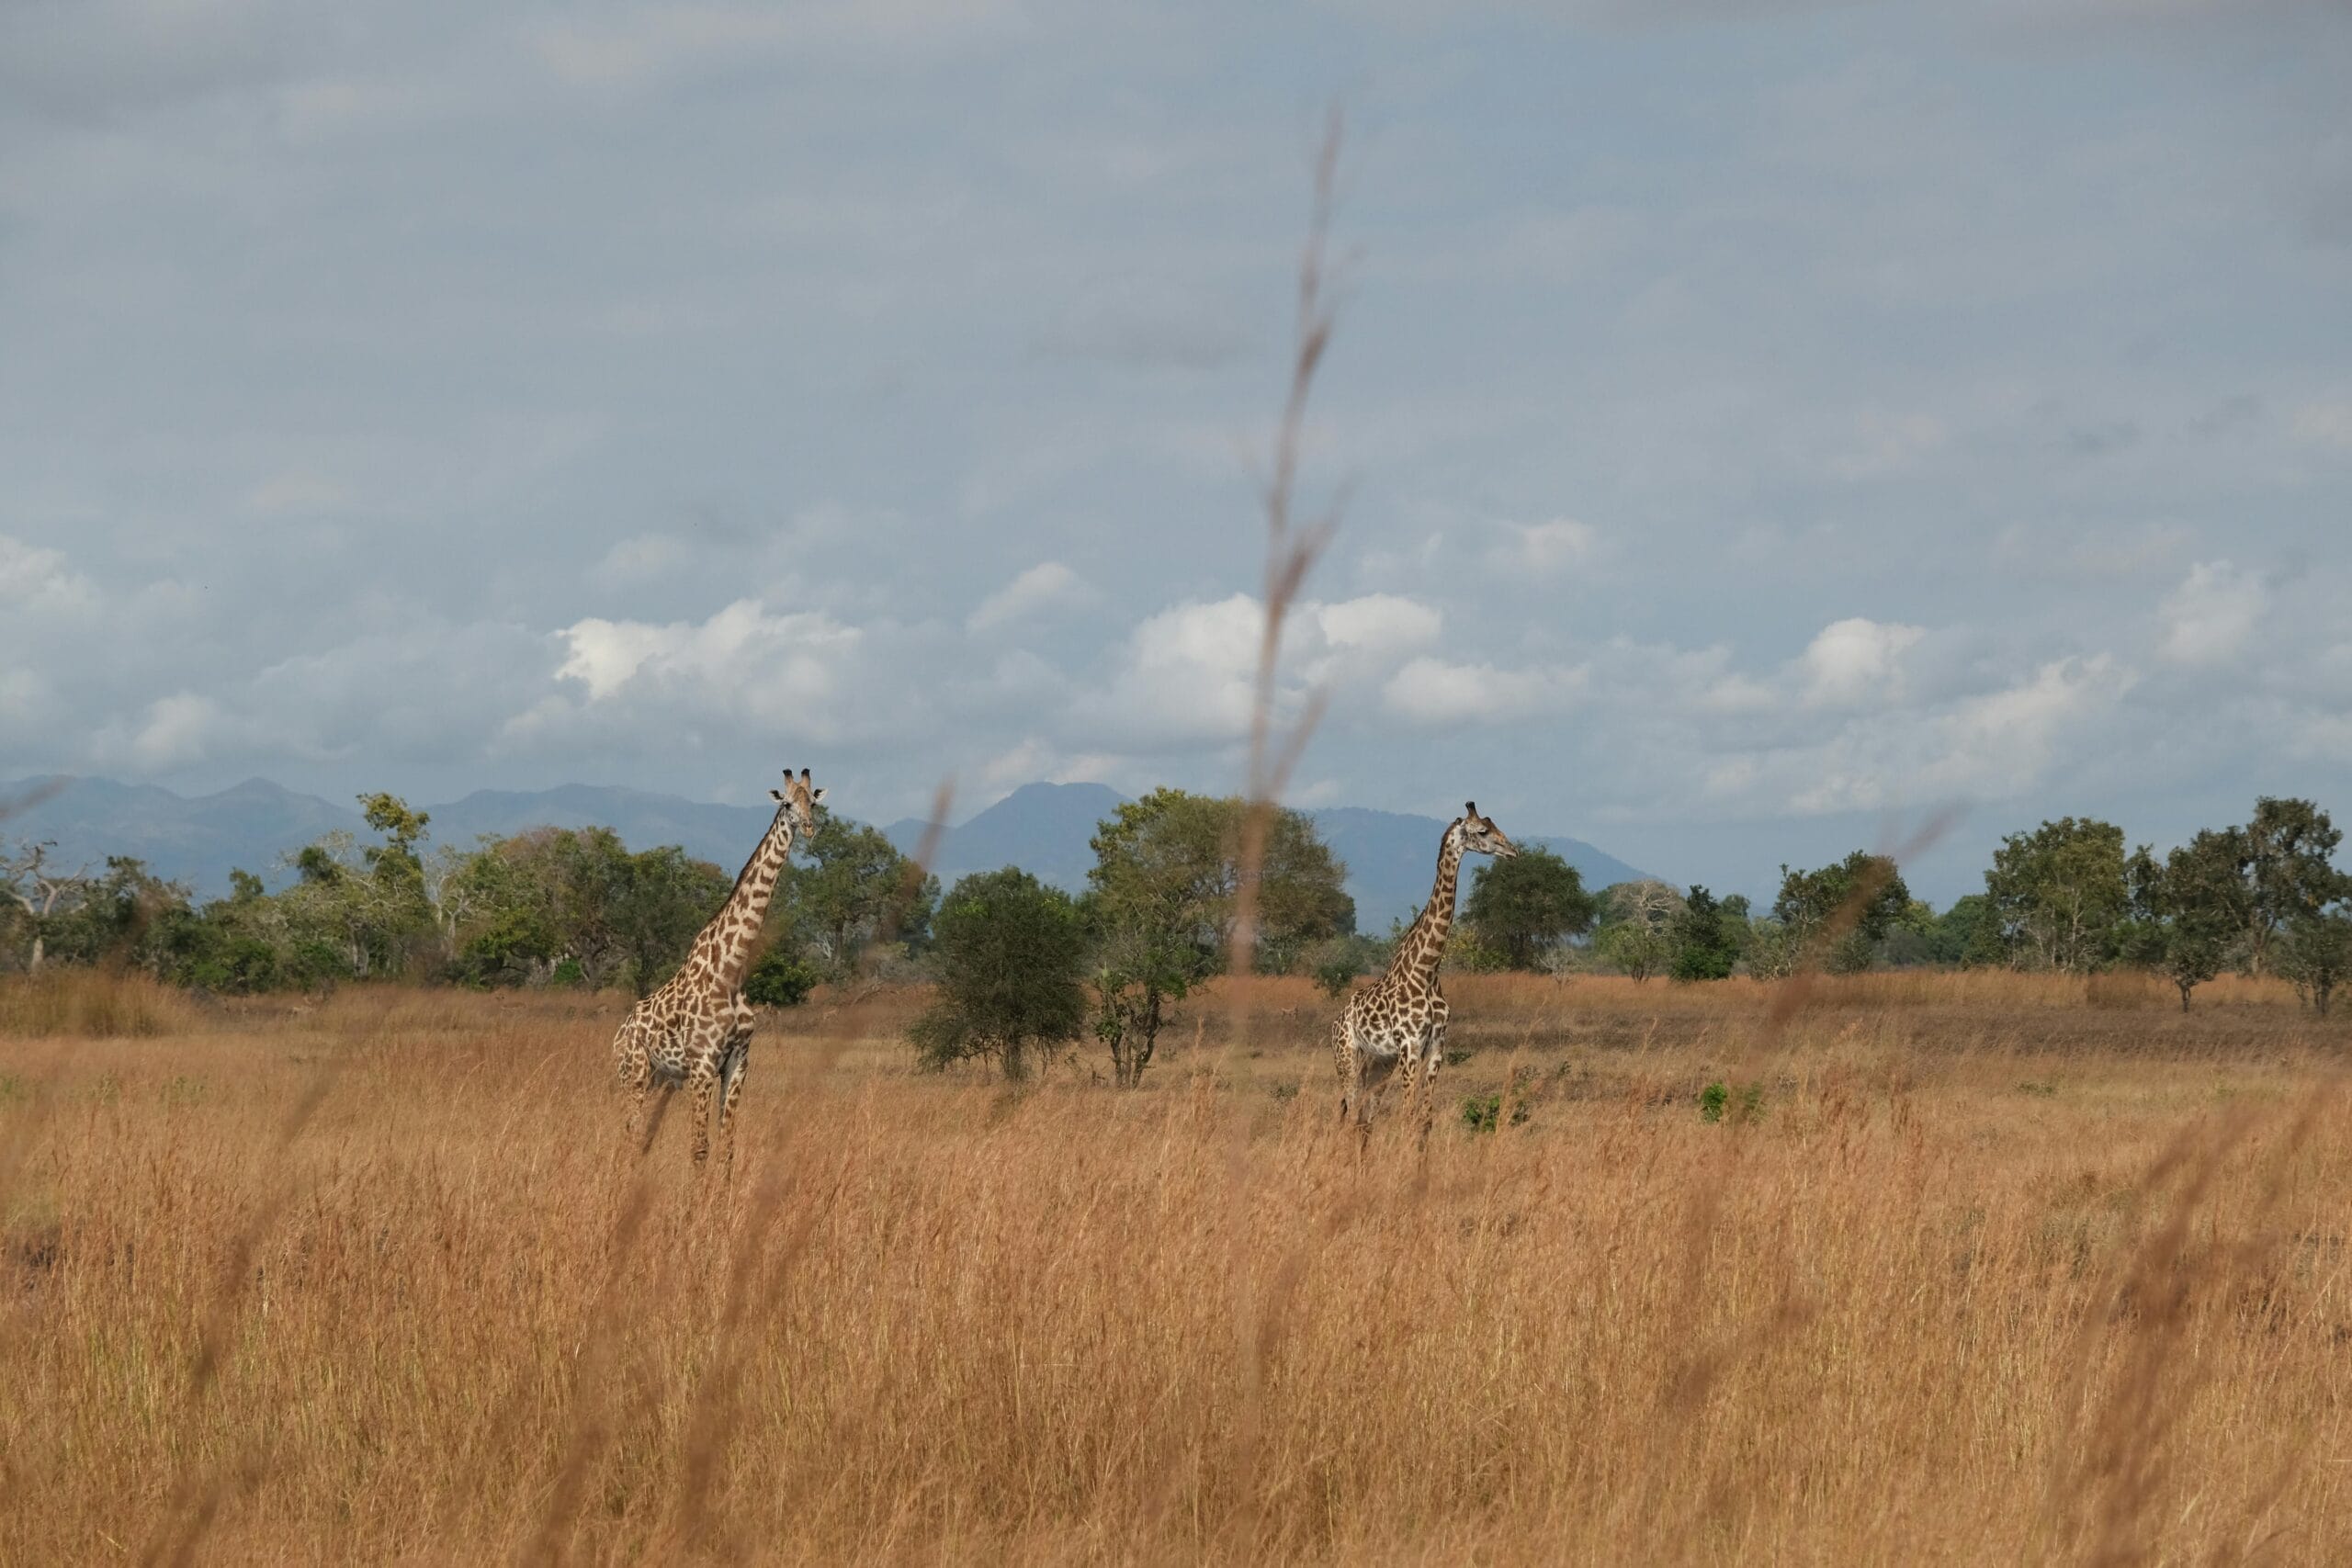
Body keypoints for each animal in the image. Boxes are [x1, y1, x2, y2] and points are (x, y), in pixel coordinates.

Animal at [610, 766, 825, 1169]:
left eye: (814, 803)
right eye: (788, 804)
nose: (807, 827)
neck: (732, 968)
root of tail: (619, 1033)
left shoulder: (738, 1063)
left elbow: (727, 1148)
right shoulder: (703, 1063)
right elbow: (699, 1148)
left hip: (660, 1077)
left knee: (640, 1137)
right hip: (633, 1073)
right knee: (627, 1136)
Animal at [1330, 802, 1518, 1142]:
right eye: (1483, 831)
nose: (1513, 851)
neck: (1427, 970)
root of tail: (1336, 1021)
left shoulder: (1436, 1047)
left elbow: (1425, 1120)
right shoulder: (1410, 1046)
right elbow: (1408, 1116)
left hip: (1378, 1062)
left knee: (1365, 1119)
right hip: (1347, 1057)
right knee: (1351, 1116)